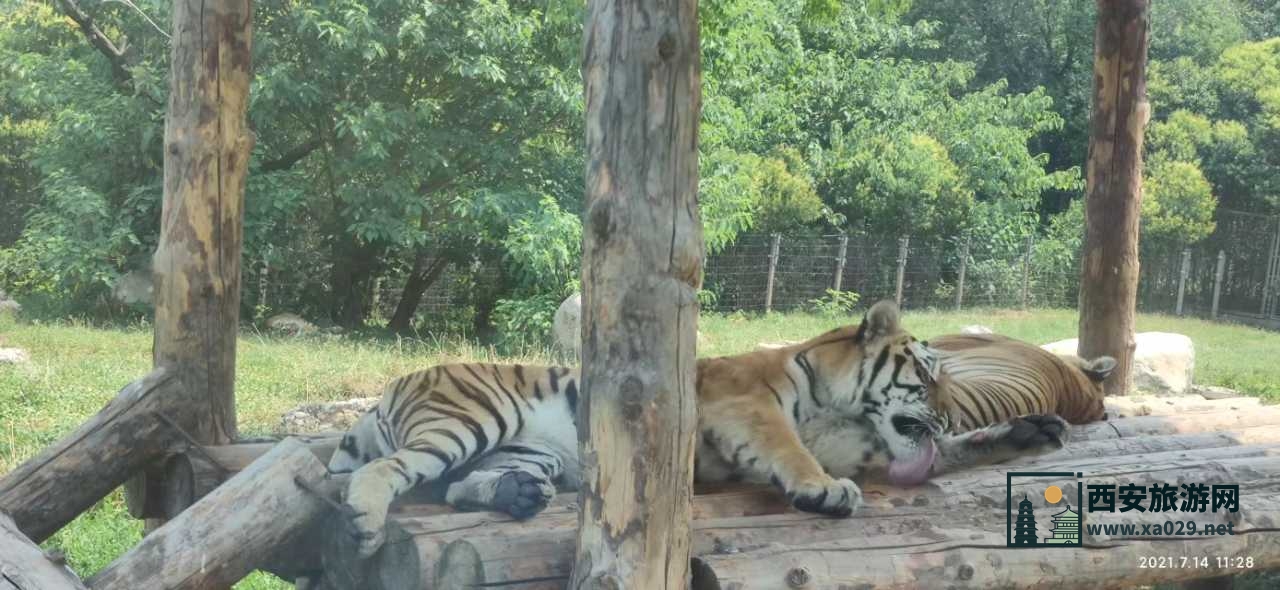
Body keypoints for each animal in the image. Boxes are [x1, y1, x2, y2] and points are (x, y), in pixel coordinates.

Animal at [332, 300, 1080, 555]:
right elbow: (788, 449)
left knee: (457, 487)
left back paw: (517, 497)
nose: (950, 407)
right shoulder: (745, 405)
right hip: (467, 421)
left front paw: (1029, 431)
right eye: (927, 375)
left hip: (524, 452)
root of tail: (392, 388)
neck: (844, 404)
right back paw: (364, 523)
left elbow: (954, 451)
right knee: (387, 471)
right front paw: (824, 491)